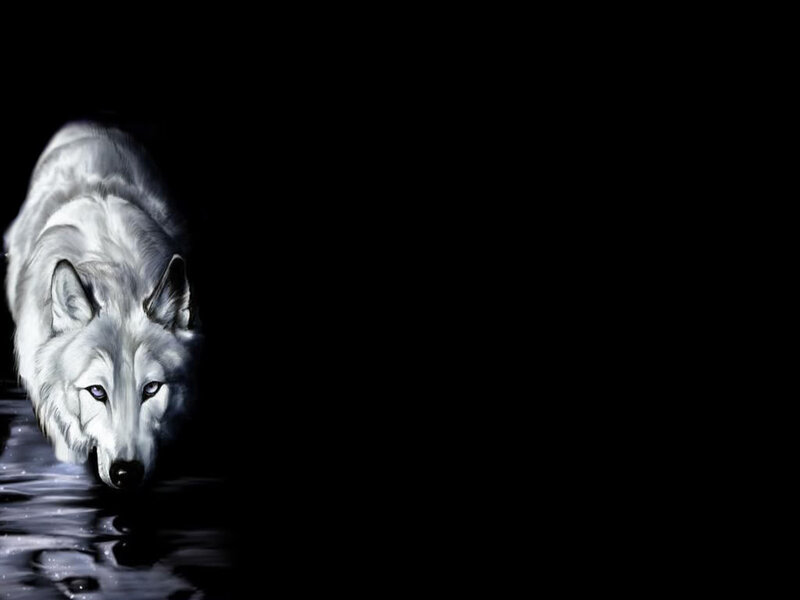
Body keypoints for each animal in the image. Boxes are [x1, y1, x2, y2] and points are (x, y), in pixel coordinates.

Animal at [3, 122, 199, 489]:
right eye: (96, 391)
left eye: (151, 388)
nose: (126, 472)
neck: (116, 277)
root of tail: (89, 123)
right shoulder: (61, 425)